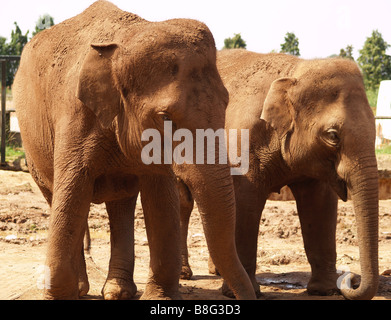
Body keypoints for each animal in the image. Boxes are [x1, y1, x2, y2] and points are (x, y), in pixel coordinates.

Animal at [13, 0, 258, 300]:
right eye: (165, 117)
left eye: (226, 103)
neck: (126, 39)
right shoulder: (74, 115)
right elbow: (73, 192)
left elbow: (161, 199)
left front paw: (160, 297)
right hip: (32, 149)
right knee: (56, 197)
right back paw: (85, 289)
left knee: (121, 203)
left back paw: (118, 291)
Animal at [180, 48, 380, 300]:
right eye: (333, 135)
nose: (351, 279)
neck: (294, 72)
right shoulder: (242, 143)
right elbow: (245, 203)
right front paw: (240, 292)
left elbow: (320, 205)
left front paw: (324, 290)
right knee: (183, 202)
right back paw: (184, 274)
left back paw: (216, 270)